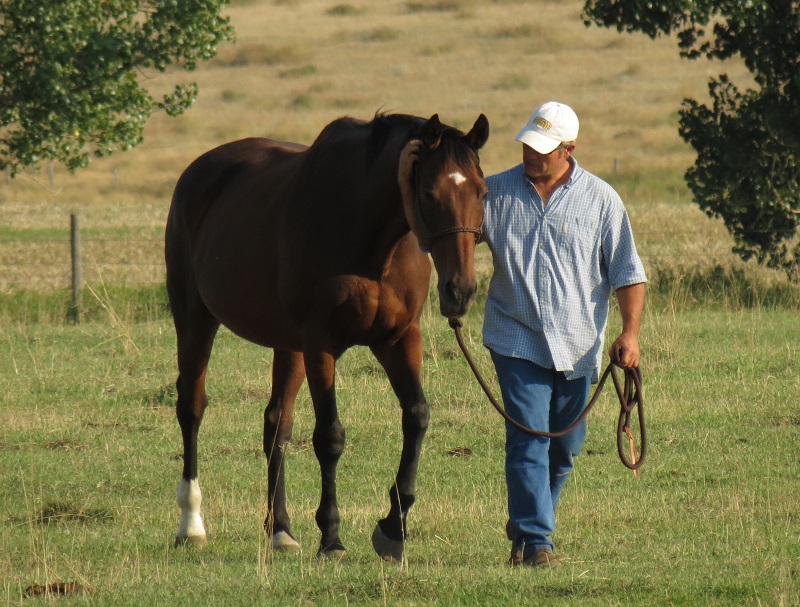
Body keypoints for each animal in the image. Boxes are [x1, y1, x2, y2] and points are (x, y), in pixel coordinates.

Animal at [165, 111, 489, 562]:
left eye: (482, 192)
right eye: (428, 193)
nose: (461, 291)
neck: (367, 235)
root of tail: (196, 172)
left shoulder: (399, 339)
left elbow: (417, 417)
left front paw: (393, 528)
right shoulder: (321, 345)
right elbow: (330, 437)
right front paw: (331, 537)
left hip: (288, 345)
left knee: (276, 424)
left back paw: (280, 530)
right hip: (195, 319)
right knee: (191, 409)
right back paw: (191, 524)